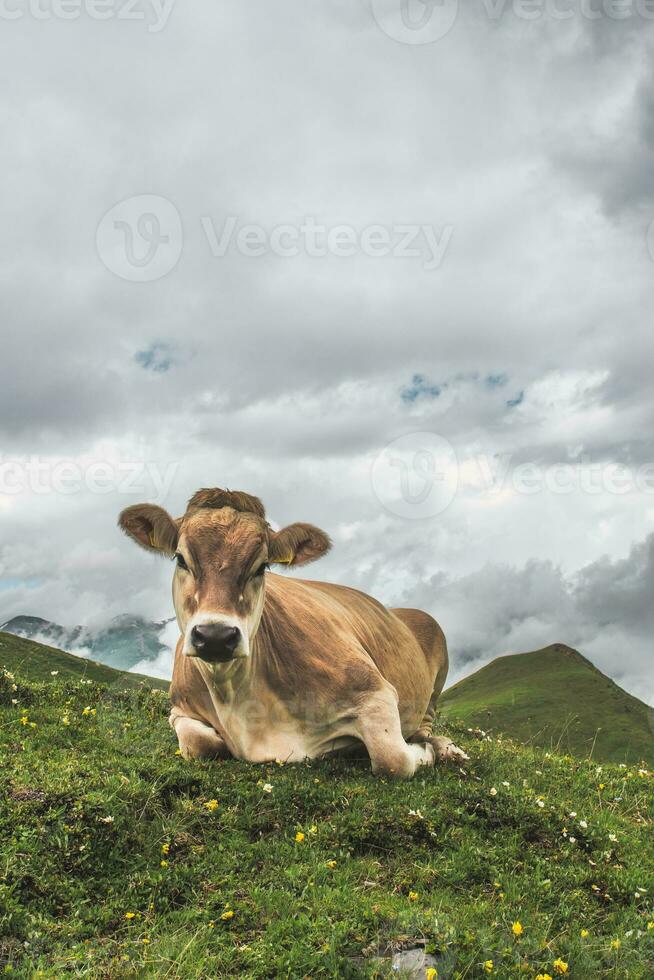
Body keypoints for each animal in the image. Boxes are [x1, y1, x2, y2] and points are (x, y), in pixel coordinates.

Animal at [116, 486, 466, 776]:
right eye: (180, 558)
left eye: (261, 567)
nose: (215, 637)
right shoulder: (179, 708)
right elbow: (199, 745)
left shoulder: (375, 693)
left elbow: (394, 760)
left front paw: (425, 752)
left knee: (424, 727)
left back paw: (446, 748)